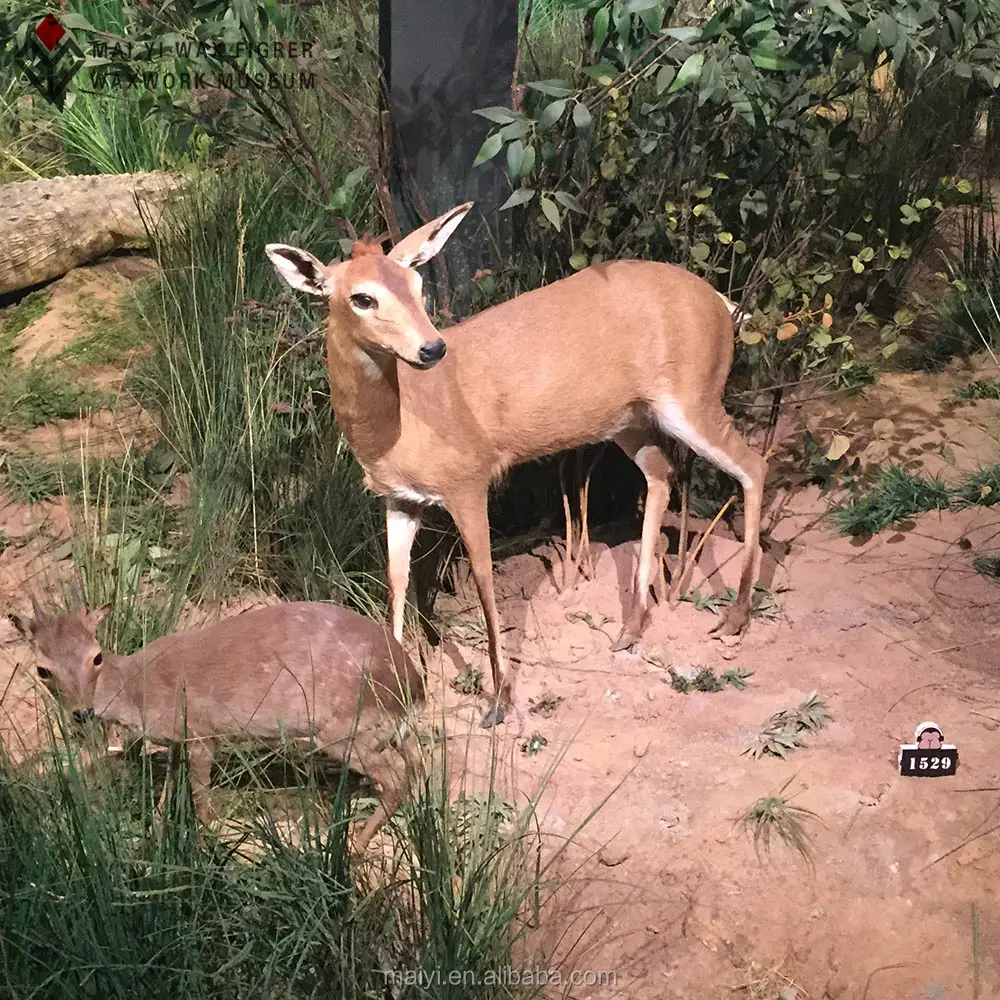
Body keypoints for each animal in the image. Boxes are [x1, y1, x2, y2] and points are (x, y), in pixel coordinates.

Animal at [12, 596, 426, 856]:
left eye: (96, 656)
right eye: (43, 669)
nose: (81, 713)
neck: (140, 687)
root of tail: (413, 687)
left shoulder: (201, 732)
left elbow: (201, 802)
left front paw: (210, 849)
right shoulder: (176, 740)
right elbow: (165, 799)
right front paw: (154, 846)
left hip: (343, 729)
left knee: (396, 777)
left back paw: (354, 846)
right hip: (380, 733)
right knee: (415, 767)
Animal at [264, 201, 764, 728]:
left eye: (418, 284)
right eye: (361, 297)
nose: (432, 348)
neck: (395, 429)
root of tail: (720, 301)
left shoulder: (469, 483)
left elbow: (485, 581)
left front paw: (499, 700)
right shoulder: (399, 501)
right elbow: (395, 585)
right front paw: (399, 690)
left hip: (692, 401)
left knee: (752, 465)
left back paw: (733, 619)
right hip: (631, 421)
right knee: (662, 473)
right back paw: (630, 629)